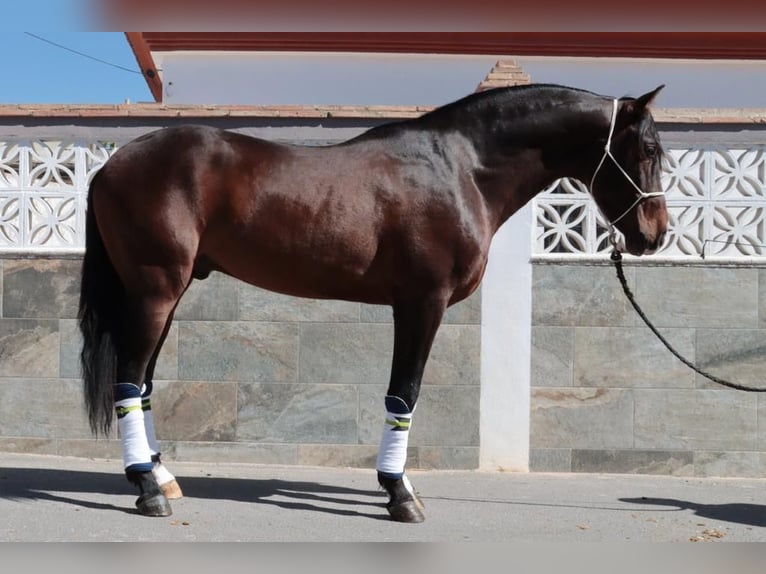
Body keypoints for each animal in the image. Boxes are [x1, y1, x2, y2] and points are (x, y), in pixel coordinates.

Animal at [76, 82, 664, 528]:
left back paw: (162, 477)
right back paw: (148, 489)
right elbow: (404, 395)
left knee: (144, 385)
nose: (655, 234)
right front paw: (399, 494)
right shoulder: (422, 303)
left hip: (167, 295)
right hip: (155, 290)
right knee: (128, 380)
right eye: (648, 150)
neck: (463, 169)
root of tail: (111, 166)